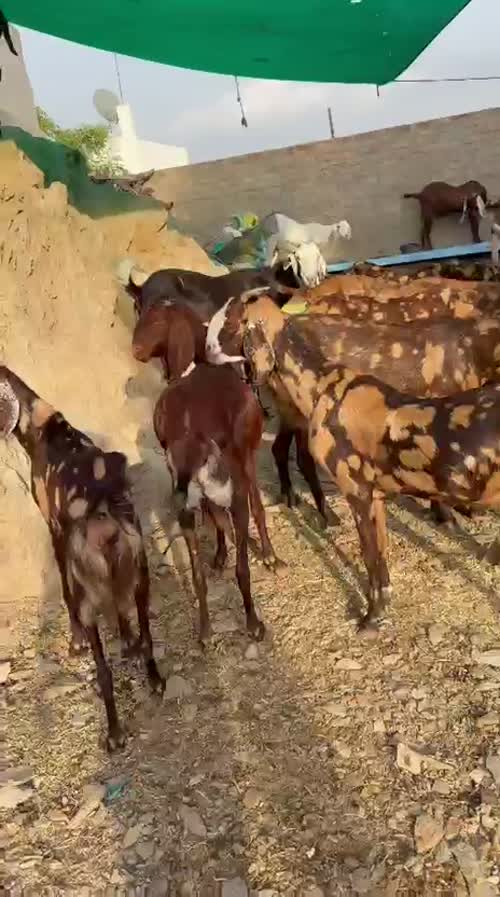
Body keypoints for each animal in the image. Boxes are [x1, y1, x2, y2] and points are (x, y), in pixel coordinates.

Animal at [0, 366, 164, 751]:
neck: (43, 427)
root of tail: (103, 518)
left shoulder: (54, 528)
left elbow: (64, 586)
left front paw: (75, 641)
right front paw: (127, 640)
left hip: (94, 594)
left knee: (102, 669)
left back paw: (114, 734)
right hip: (141, 572)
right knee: (147, 631)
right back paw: (154, 679)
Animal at [153, 363, 280, 645]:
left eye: (203, 461)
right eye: (171, 466)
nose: (178, 499)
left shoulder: (229, 502)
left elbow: (240, 565)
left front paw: (254, 625)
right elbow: (198, 574)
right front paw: (205, 631)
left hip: (244, 468)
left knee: (254, 507)